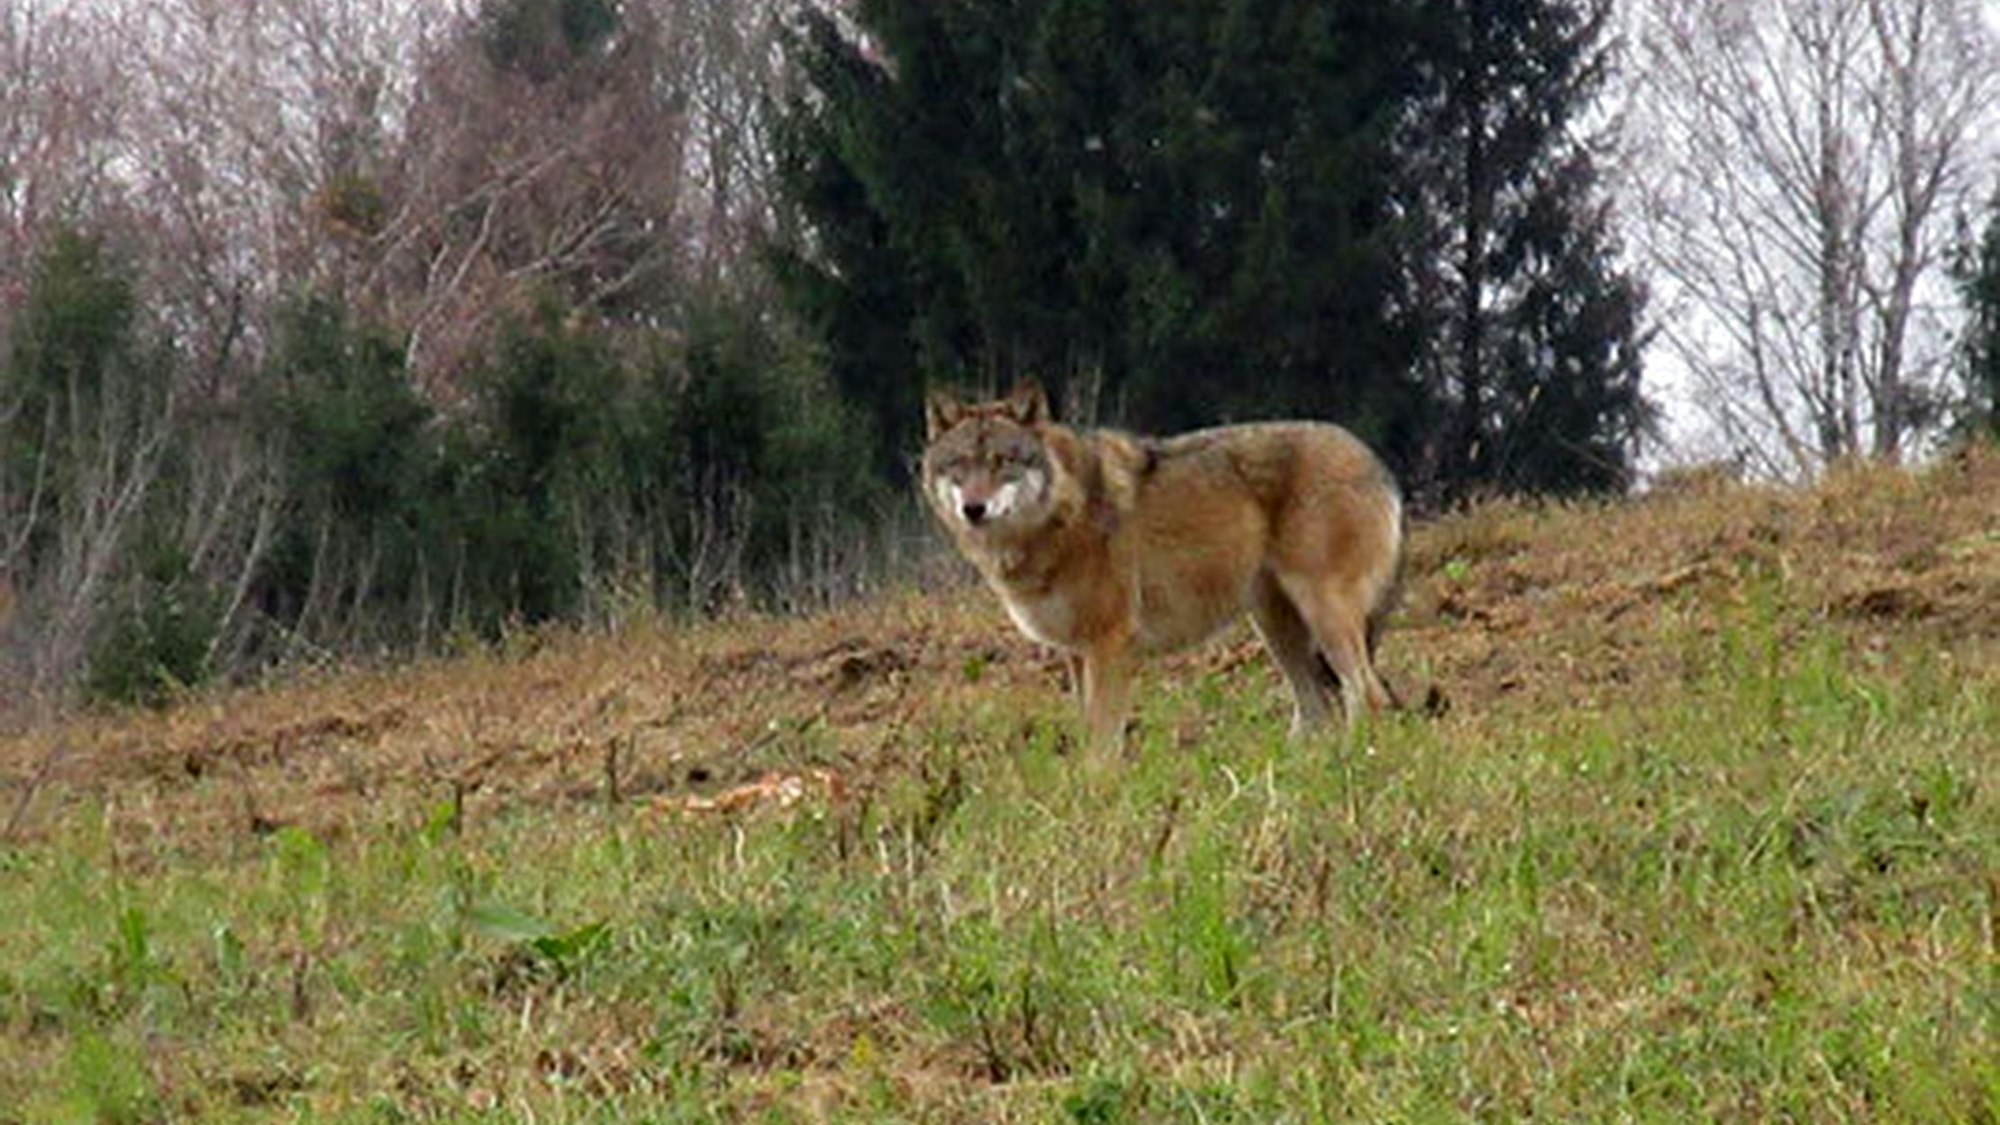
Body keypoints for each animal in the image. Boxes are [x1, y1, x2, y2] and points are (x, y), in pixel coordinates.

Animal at [922, 380, 1403, 749]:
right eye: (959, 464)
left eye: (1002, 461)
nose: (973, 509)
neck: (1060, 517)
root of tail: (1376, 462)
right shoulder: (1075, 653)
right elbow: (1087, 734)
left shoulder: (1111, 645)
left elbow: (1102, 744)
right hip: (1276, 627)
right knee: (1317, 709)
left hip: (1323, 616)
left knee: (1369, 697)